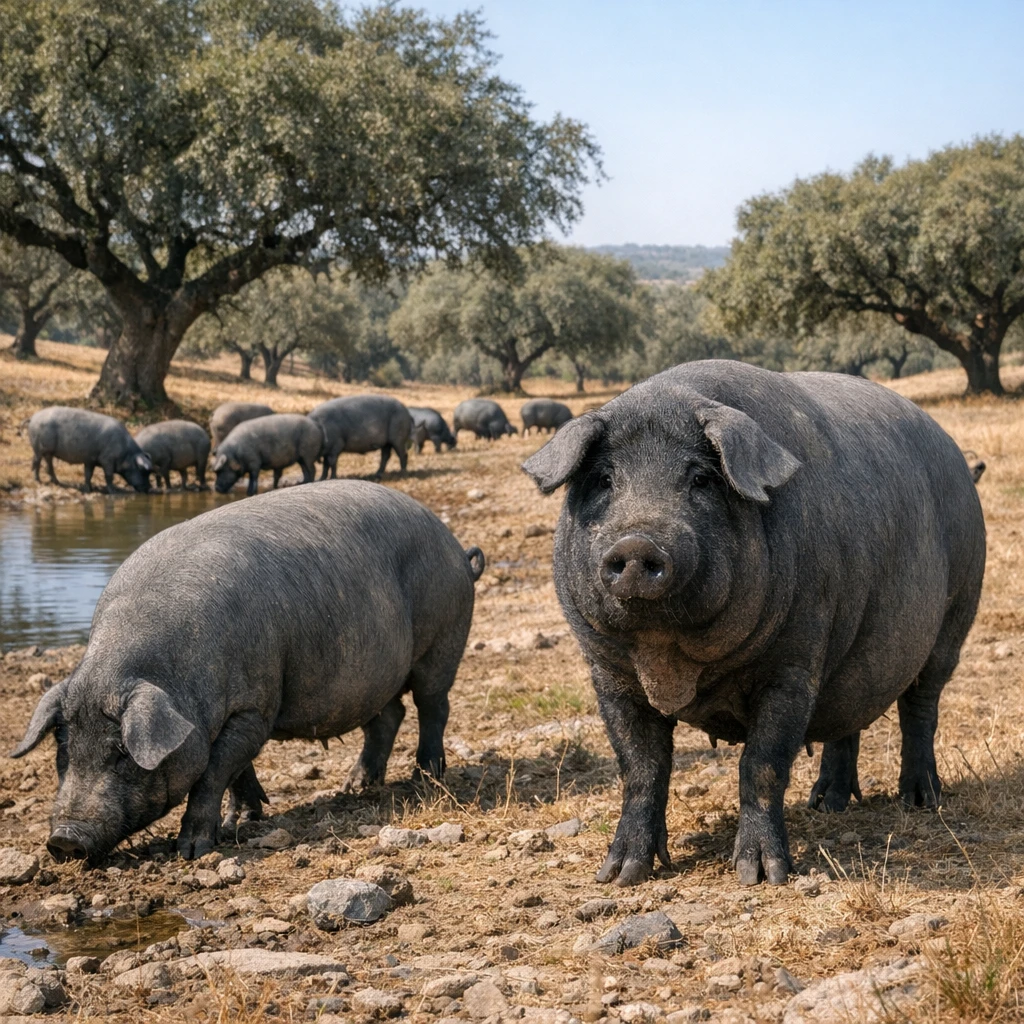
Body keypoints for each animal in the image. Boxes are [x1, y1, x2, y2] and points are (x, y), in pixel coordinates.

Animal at [12, 480, 486, 862]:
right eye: (63, 747)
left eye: (123, 753)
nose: (64, 840)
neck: (177, 677)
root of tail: (457, 549)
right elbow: (236, 772)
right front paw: (246, 818)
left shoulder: (253, 709)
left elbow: (214, 772)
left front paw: (192, 850)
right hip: (373, 676)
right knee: (388, 716)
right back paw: (355, 787)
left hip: (443, 638)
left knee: (432, 706)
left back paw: (426, 779)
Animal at [522, 360, 985, 887]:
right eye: (603, 479)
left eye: (701, 479)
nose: (637, 543)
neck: (670, 657)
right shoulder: (607, 673)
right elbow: (640, 767)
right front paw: (620, 875)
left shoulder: (793, 664)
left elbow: (762, 763)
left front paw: (760, 875)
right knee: (847, 718)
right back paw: (826, 805)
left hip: (956, 613)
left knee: (921, 708)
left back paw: (922, 800)